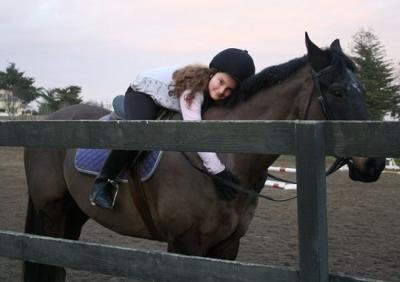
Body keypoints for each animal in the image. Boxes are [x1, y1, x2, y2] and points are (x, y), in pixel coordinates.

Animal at [23, 33, 386, 282]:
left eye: (364, 92)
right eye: (337, 92)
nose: (374, 165)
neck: (227, 155)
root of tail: (49, 120)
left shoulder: (227, 247)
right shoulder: (185, 245)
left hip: (73, 214)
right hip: (53, 212)